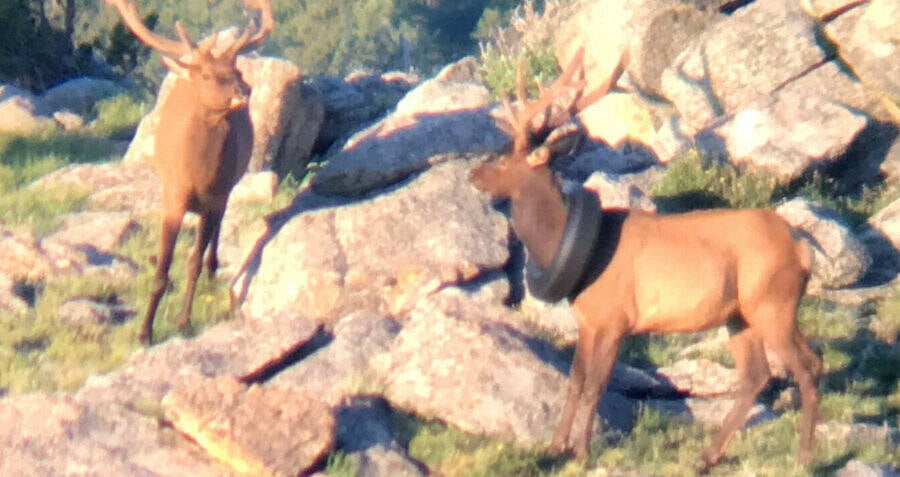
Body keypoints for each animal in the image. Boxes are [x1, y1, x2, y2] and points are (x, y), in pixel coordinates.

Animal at [105, 0, 274, 344]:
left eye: (236, 71)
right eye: (207, 75)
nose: (244, 92)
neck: (198, 175)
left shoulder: (215, 197)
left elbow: (193, 260)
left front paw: (184, 322)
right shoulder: (173, 196)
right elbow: (163, 268)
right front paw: (145, 332)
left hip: (228, 189)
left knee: (216, 233)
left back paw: (213, 268)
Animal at [472, 46, 824, 470]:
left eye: (505, 159)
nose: (474, 173)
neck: (574, 249)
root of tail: (801, 247)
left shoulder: (616, 319)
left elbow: (595, 386)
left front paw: (583, 452)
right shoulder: (588, 320)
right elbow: (574, 382)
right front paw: (555, 448)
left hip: (774, 302)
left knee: (808, 365)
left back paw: (804, 457)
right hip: (740, 314)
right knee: (757, 376)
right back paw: (706, 457)